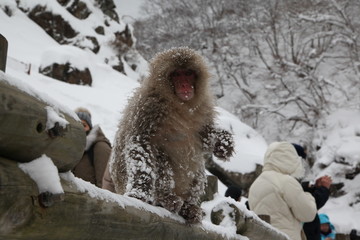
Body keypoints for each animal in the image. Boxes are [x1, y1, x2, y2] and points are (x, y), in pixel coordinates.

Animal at [109, 47, 233, 223]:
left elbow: (205, 136)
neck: (181, 105)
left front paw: (223, 143)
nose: (185, 85)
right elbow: (141, 143)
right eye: (177, 74)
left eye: (188, 73)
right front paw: (139, 192)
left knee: (197, 169)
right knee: (160, 155)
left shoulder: (204, 107)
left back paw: (189, 208)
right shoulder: (147, 106)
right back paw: (165, 199)